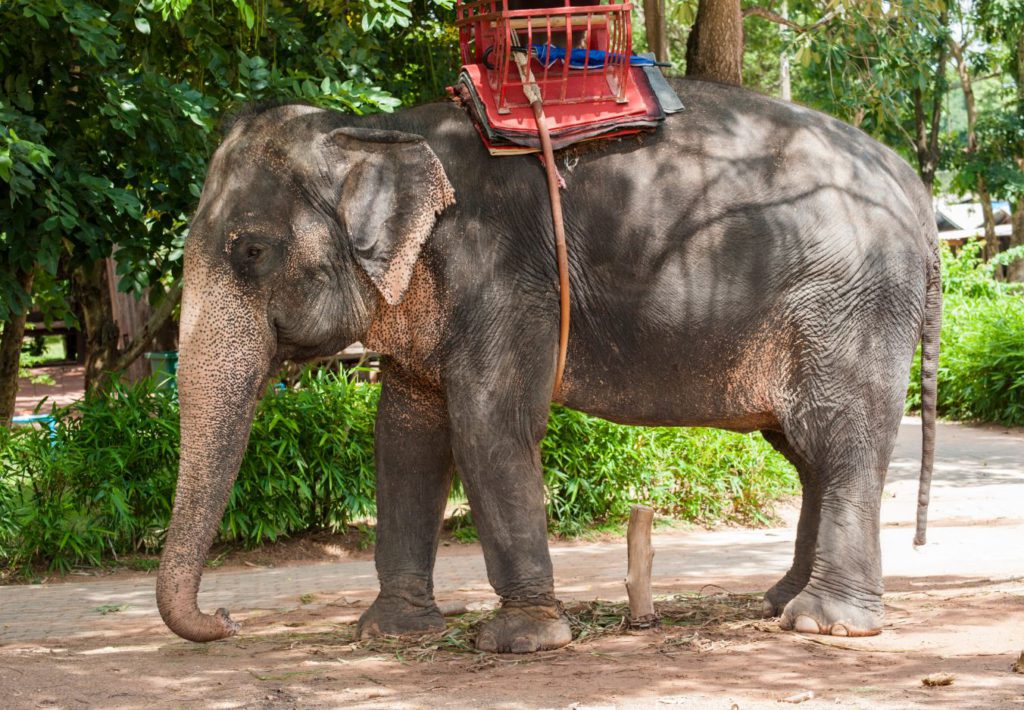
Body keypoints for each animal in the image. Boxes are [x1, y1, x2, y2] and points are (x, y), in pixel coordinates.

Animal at [155, 76, 937, 647]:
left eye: (250, 252)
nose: (226, 620)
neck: (379, 127)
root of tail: (915, 187)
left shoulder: (502, 275)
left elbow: (489, 426)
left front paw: (523, 639)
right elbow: (404, 437)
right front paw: (391, 634)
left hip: (851, 307)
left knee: (838, 442)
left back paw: (827, 624)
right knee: (804, 453)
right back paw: (779, 602)